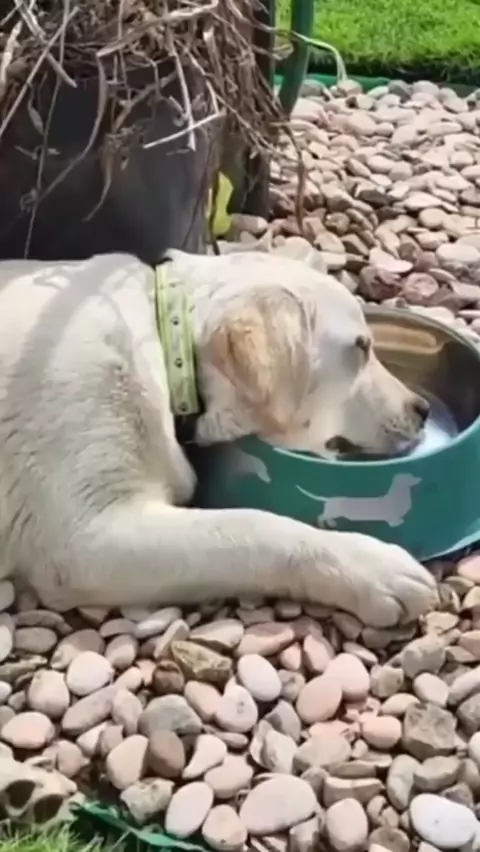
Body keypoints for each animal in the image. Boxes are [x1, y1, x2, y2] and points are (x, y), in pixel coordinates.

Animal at [0, 250, 438, 627]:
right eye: (360, 348)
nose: (423, 409)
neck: (167, 352)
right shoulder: (86, 539)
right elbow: (257, 527)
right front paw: (373, 568)